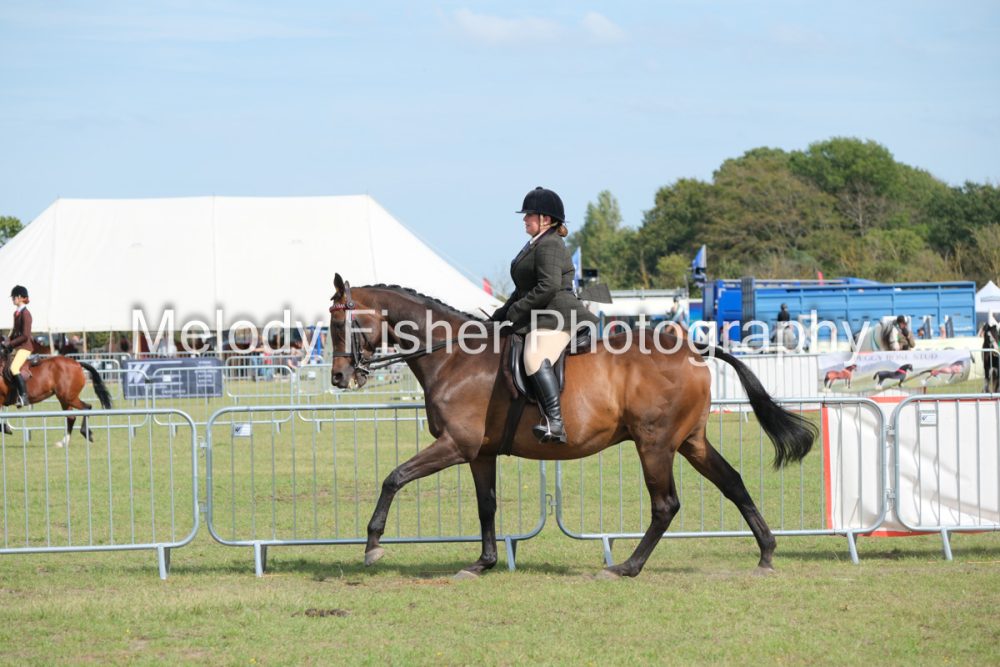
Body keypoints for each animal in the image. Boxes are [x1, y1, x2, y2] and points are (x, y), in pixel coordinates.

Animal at [327, 274, 817, 579]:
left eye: (338, 324)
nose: (339, 378)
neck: (453, 355)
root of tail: (692, 347)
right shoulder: (479, 453)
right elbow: (487, 506)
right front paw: (483, 562)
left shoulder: (456, 445)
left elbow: (394, 478)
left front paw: (372, 545)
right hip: (690, 441)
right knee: (733, 482)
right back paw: (766, 553)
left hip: (655, 444)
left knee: (666, 505)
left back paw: (626, 567)